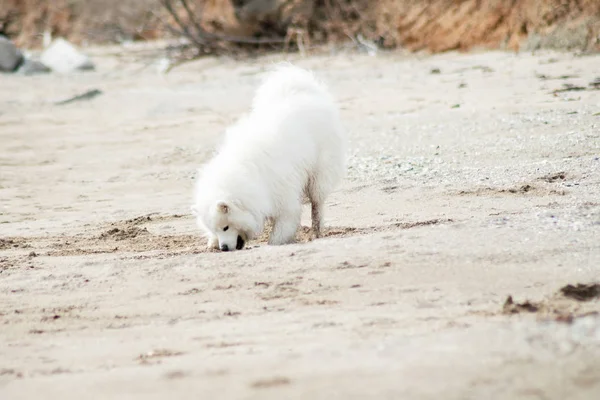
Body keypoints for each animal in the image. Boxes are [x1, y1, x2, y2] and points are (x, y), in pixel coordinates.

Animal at [190, 63, 344, 252]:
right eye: (216, 230)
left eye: (226, 227)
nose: (224, 247)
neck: (249, 177)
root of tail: (303, 91)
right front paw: (212, 242)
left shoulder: (284, 199)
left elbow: (282, 228)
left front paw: (276, 242)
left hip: (318, 175)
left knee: (317, 204)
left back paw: (316, 230)